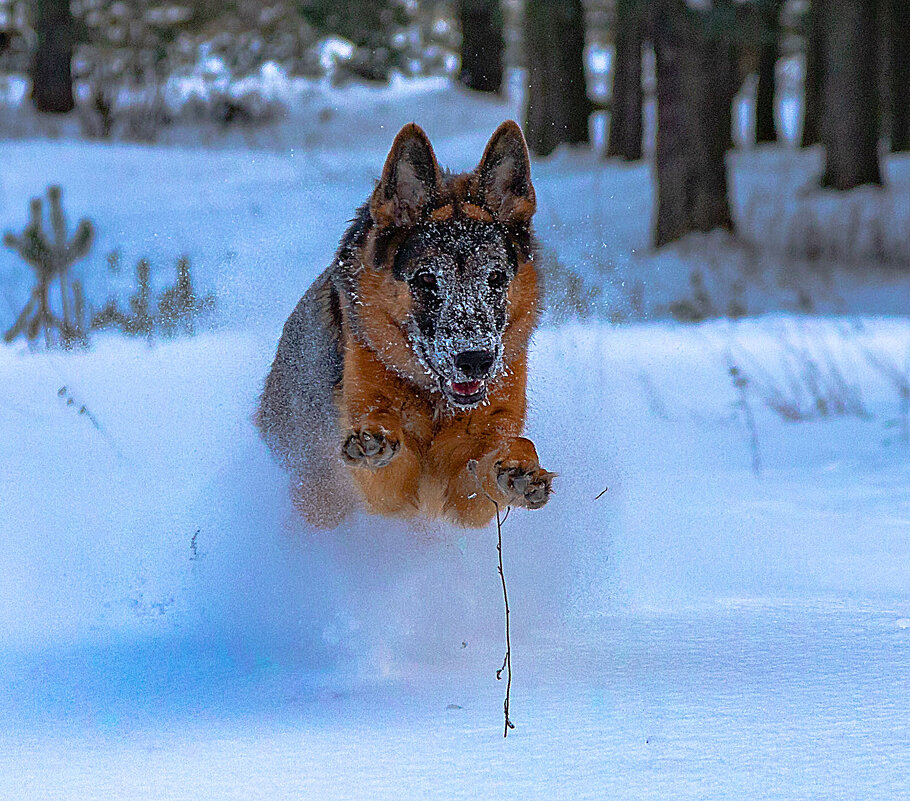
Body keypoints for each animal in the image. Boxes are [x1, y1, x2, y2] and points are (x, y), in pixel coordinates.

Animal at [256, 120, 556, 524]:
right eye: (426, 279)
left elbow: (503, 452)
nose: (475, 360)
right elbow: (383, 441)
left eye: (495, 277)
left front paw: (518, 469)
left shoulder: (466, 495)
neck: (434, 401)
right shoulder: (388, 494)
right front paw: (375, 440)